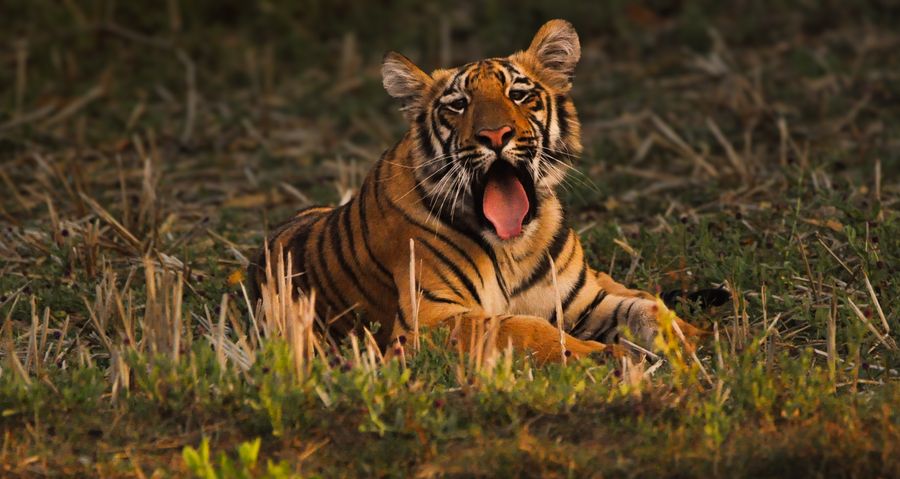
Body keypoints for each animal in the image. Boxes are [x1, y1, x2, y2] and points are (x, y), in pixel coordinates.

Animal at [249, 20, 723, 363]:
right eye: (458, 104)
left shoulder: (585, 299)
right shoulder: (429, 318)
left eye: (520, 94)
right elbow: (521, 327)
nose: (495, 135)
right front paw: (599, 355)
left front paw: (694, 338)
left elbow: (647, 309)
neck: (516, 246)